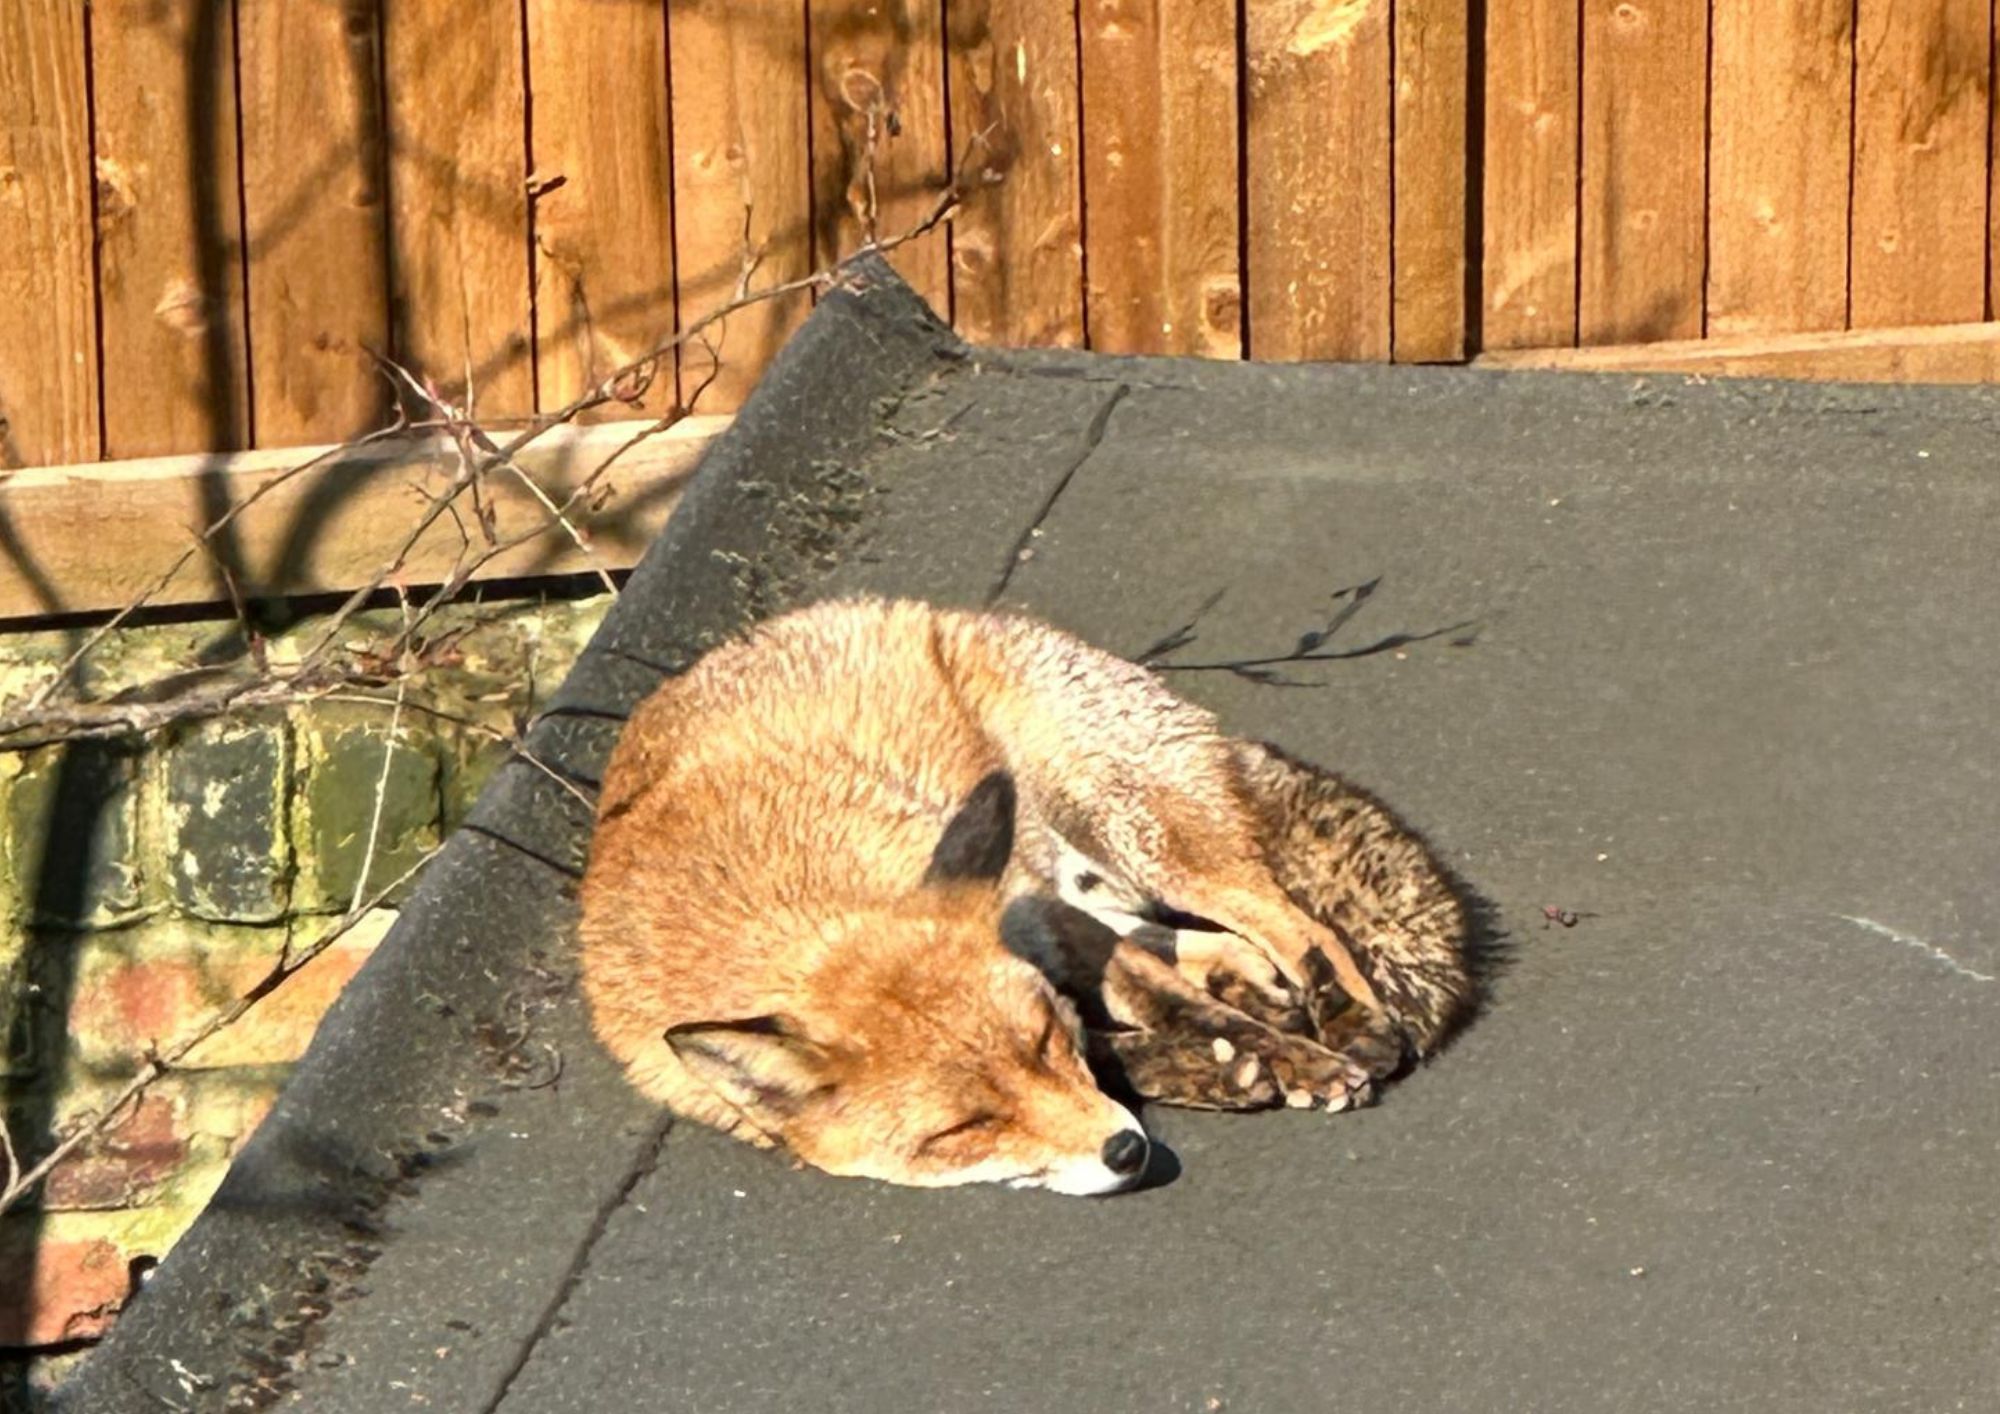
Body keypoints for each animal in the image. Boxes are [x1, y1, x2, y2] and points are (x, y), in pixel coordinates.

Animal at [579, 597, 1472, 1194]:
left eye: (1042, 1043)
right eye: (966, 1130)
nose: (1125, 1153)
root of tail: (952, 613)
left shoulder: (1036, 915)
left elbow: (1166, 1011)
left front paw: (1285, 1060)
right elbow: (1125, 1043)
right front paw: (1224, 1069)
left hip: (1133, 831)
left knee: (1293, 921)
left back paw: (1346, 1018)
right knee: (1199, 938)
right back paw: (1258, 990)